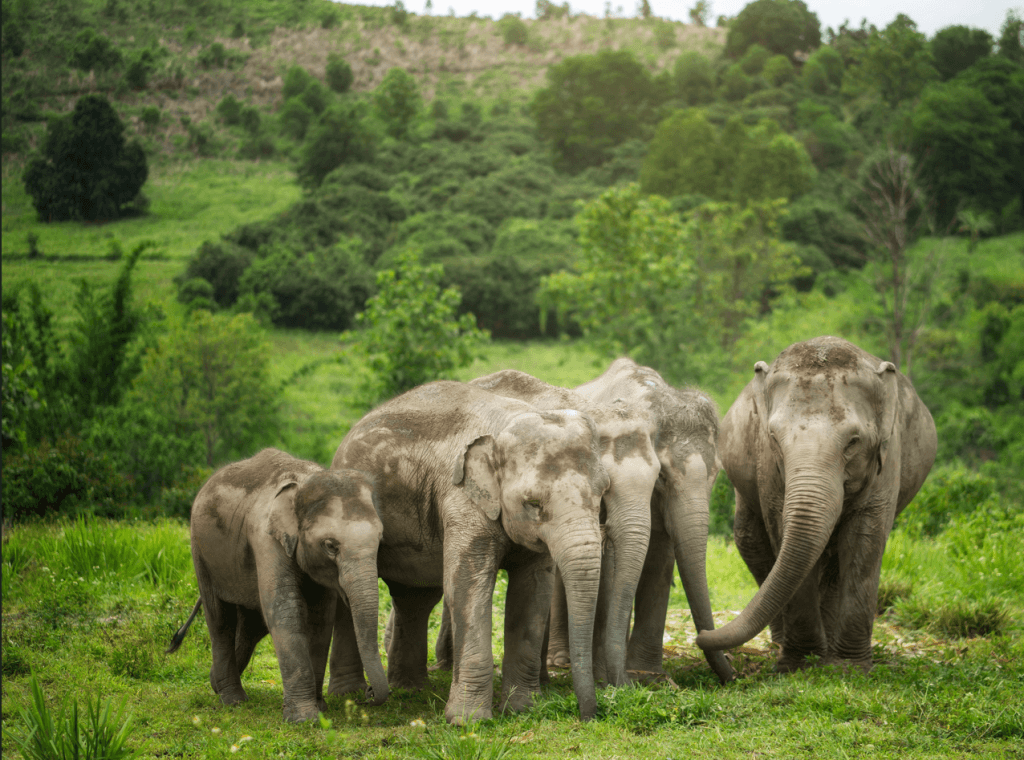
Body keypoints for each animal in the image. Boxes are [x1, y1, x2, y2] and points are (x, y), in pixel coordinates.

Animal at [165, 448, 388, 723]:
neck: (304, 482)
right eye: (330, 545)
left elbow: (321, 619)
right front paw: (304, 719)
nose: (368, 693)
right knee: (220, 619)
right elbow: (286, 612)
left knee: (251, 625)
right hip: (200, 552)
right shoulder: (266, 539)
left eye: (380, 539)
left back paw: (215, 683)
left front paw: (320, 707)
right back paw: (233, 700)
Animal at [327, 380, 610, 723]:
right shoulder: (461, 499)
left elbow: (532, 594)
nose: (588, 716)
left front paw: (522, 710)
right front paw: (467, 721)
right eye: (533, 504)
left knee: (414, 597)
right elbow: (466, 588)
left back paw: (409, 689)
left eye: (603, 492)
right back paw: (350, 695)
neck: (505, 423)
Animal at [574, 358, 736, 685]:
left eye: (716, 474)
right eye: (662, 477)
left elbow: (660, 559)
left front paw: (648, 674)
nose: (735, 671)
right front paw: (617, 677)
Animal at [696, 336, 937, 673]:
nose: (702, 635)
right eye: (773, 437)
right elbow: (780, 528)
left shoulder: (889, 458)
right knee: (751, 542)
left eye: (853, 441)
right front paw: (800, 663)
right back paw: (782, 644)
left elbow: (865, 540)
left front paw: (849, 668)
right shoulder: (767, 464)